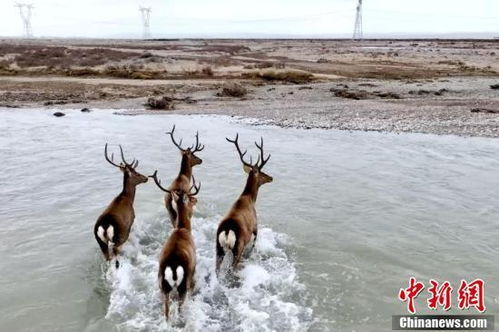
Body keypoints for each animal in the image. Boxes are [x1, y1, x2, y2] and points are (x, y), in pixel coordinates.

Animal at [150, 171, 201, 320]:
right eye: (189, 198)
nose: (196, 200)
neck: (182, 229)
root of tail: (172, 265)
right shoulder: (194, 269)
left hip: (163, 285)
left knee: (166, 312)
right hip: (182, 285)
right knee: (180, 309)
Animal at [216, 134, 274, 274]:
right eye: (262, 172)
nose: (271, 177)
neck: (250, 198)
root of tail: (227, 232)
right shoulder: (255, 227)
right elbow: (252, 247)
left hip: (219, 249)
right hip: (238, 247)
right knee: (233, 267)